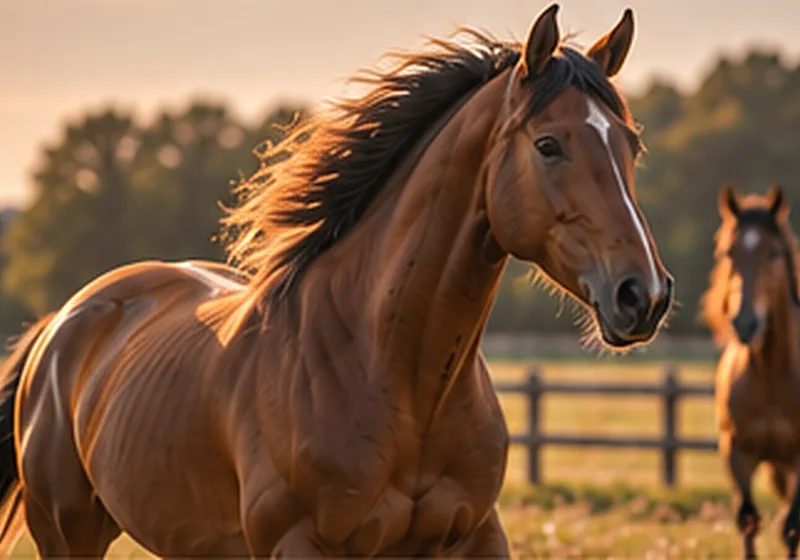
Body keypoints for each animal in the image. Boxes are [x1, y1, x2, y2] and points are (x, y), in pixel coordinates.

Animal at [0, 4, 673, 557]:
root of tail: (65, 322)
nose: (644, 295)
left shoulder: (476, 537)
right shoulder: (300, 544)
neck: (391, 374)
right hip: (67, 532)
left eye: (632, 146)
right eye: (549, 145)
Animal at [700, 185, 800, 559]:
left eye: (774, 252)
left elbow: (790, 528)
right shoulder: (737, 451)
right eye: (729, 251)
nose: (745, 323)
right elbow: (748, 521)